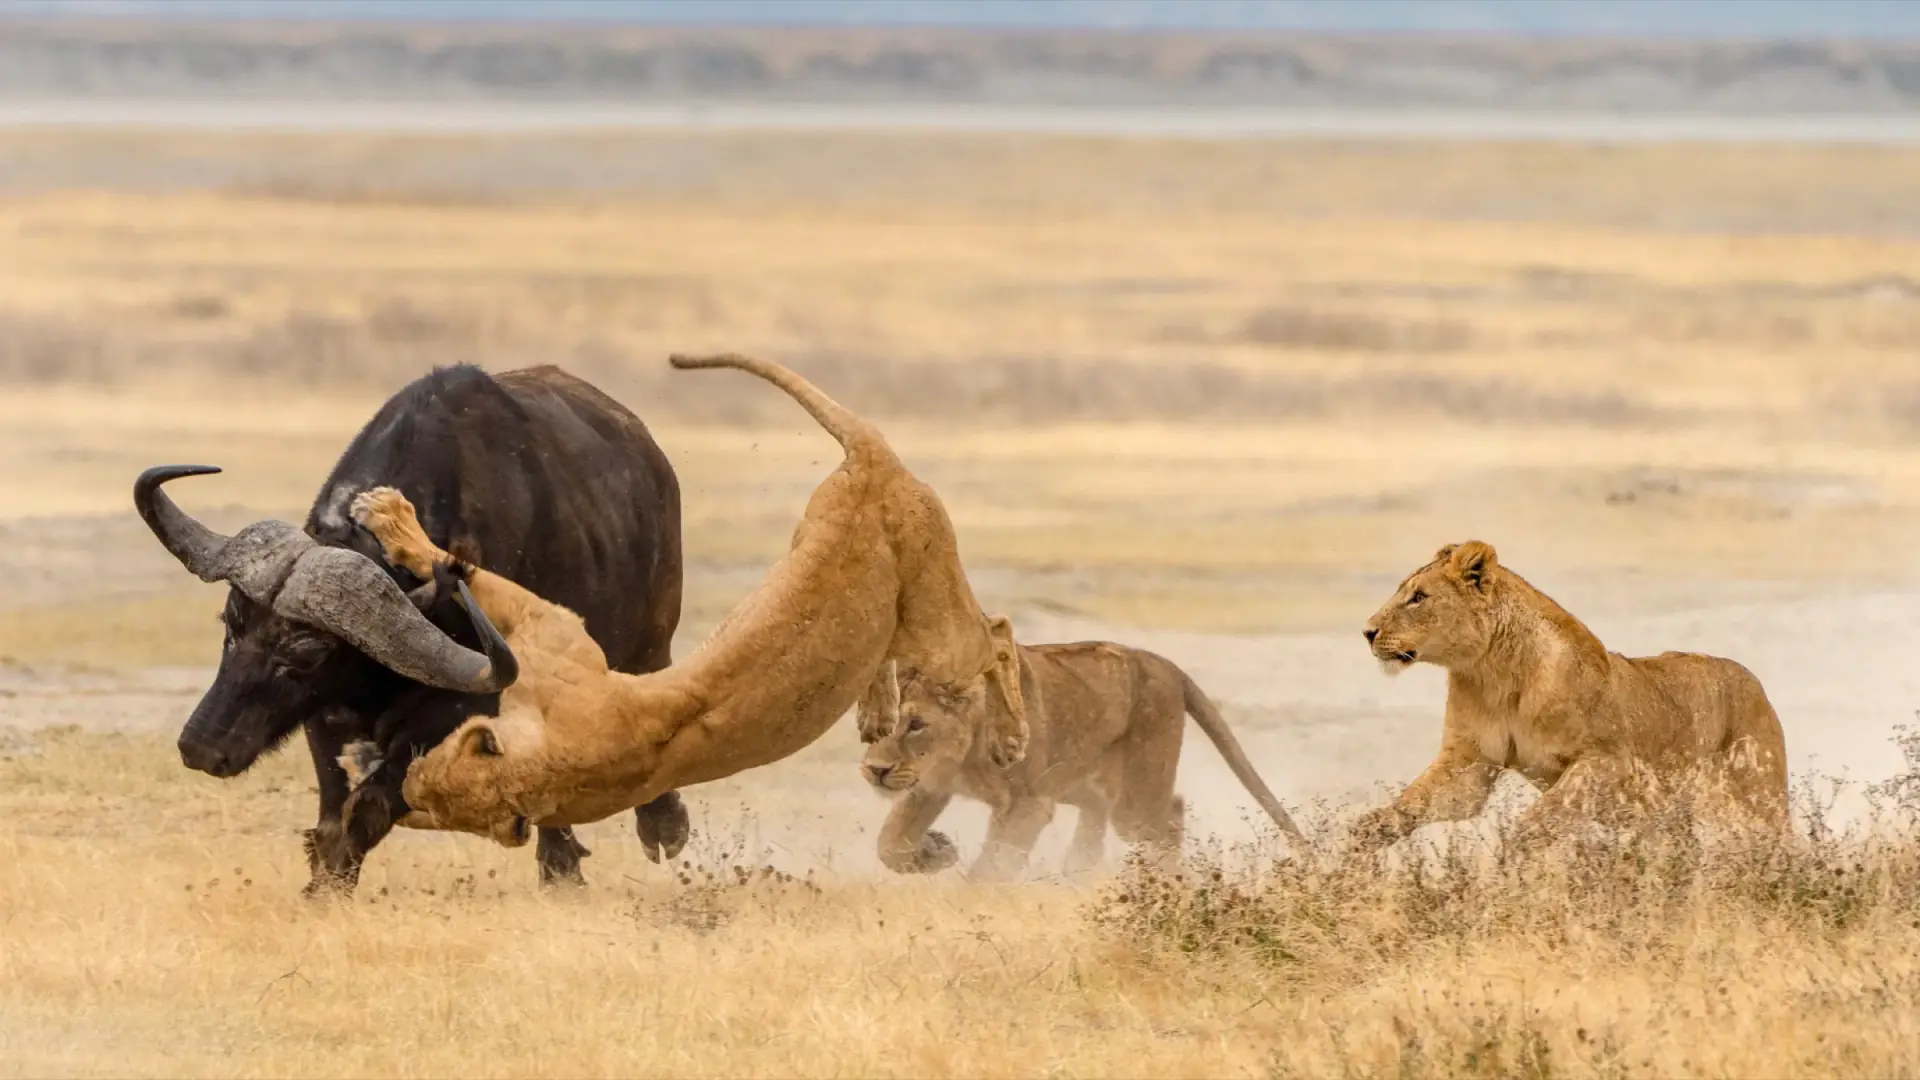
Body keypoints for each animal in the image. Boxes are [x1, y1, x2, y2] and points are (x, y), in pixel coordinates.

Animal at [135, 364, 688, 894]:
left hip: (650, 644)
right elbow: (332, 813)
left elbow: (368, 807)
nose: (200, 746)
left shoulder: (460, 710)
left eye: (308, 654)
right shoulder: (324, 717)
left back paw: (643, 835)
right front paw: (323, 883)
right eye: (231, 625)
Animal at [345, 354, 1026, 846]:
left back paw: (1012, 738)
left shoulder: (557, 635)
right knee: (894, 645)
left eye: (430, 777)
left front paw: (387, 514)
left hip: (938, 628)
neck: (564, 761)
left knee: (995, 631)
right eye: (428, 794)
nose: (403, 780)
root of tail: (871, 455)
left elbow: (471, 572)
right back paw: (876, 716)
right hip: (839, 556)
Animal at [859, 634, 1308, 881]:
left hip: (1134, 801)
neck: (960, 755)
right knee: (1090, 840)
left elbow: (994, 865)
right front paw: (936, 851)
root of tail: (1163, 663)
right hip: (1087, 789)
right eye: (876, 722)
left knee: (1171, 815)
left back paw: (1163, 883)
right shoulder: (928, 785)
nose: (875, 771)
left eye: (916, 724)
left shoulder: (1028, 804)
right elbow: (888, 843)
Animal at [1354, 541, 1788, 849]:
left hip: (1750, 803)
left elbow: (1540, 817)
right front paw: (1365, 836)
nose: (1367, 631)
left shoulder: (1607, 761)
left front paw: (1515, 861)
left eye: (1418, 597)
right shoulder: (1470, 763)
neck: (1493, 673)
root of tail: (1751, 678)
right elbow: (1415, 801)